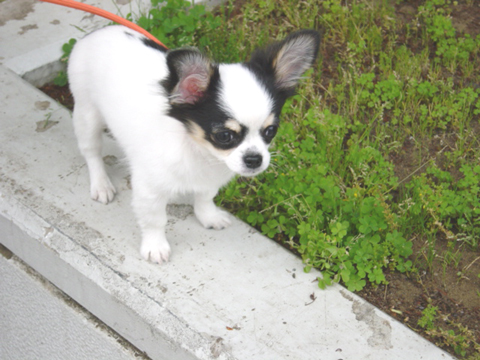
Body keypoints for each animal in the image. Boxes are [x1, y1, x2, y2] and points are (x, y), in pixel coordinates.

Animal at [67, 24, 320, 262]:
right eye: (224, 136)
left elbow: (205, 197)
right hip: (87, 113)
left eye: (270, 131)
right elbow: (154, 220)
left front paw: (209, 216)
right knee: (91, 152)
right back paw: (101, 184)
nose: (254, 159)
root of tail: (95, 33)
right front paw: (155, 246)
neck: (199, 151)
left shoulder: (209, 180)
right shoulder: (149, 189)